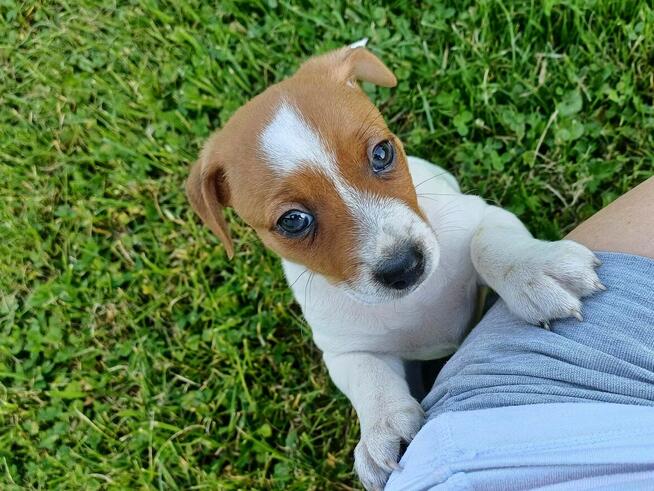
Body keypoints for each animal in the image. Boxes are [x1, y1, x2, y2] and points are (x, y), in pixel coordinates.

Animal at [184, 40, 604, 490]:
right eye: (293, 221)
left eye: (382, 153)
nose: (404, 266)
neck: (415, 302)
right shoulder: (346, 349)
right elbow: (369, 379)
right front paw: (382, 430)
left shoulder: (482, 216)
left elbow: (489, 246)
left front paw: (534, 271)